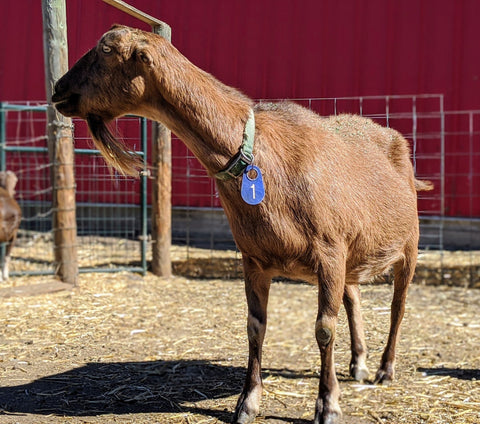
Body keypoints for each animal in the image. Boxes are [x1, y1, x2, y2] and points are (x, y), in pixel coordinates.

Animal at [53, 25, 436, 424]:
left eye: (106, 49)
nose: (57, 91)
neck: (258, 156)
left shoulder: (329, 251)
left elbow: (324, 329)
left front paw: (328, 405)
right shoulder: (254, 259)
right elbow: (255, 327)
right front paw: (247, 403)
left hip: (408, 246)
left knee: (398, 307)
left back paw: (384, 369)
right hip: (352, 253)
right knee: (354, 298)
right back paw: (359, 363)